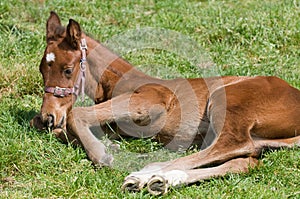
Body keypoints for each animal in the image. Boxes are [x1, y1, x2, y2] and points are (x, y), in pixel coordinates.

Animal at [31, 11, 300, 195]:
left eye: (67, 70)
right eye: (42, 69)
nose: (49, 116)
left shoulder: (150, 101)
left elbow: (76, 115)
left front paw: (104, 155)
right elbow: (62, 128)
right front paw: (106, 145)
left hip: (227, 100)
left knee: (234, 144)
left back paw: (144, 175)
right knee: (245, 160)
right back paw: (161, 181)